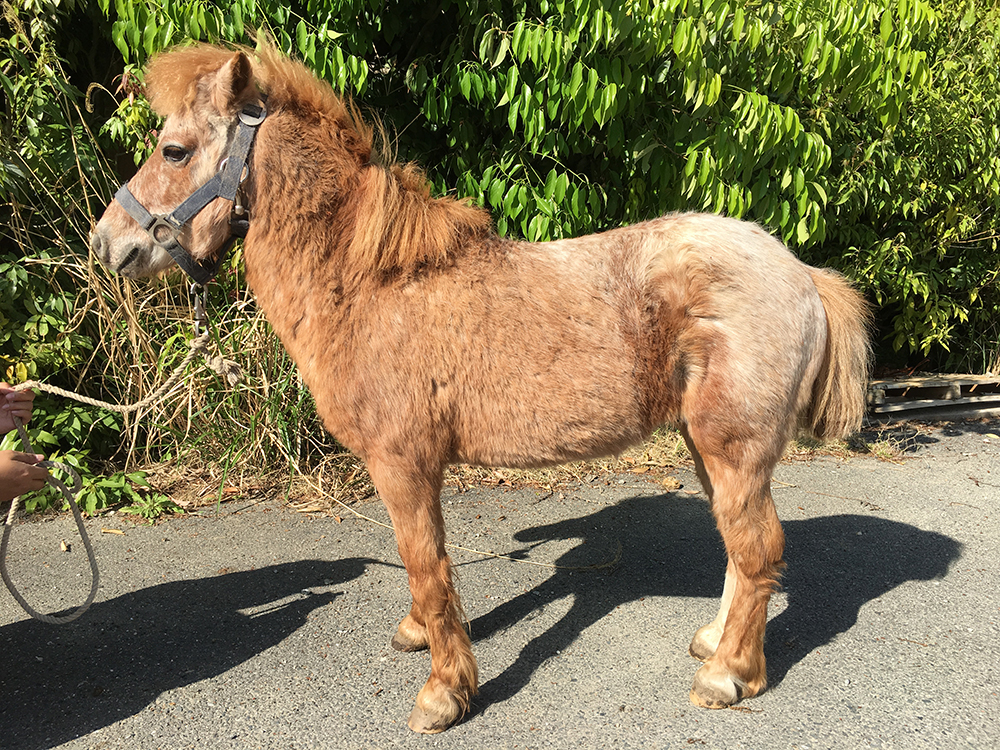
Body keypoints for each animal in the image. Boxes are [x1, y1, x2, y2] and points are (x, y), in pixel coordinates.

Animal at [90, 44, 872, 736]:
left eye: (175, 151)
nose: (108, 243)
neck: (370, 282)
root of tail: (799, 272)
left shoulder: (402, 464)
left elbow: (428, 566)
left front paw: (445, 692)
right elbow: (427, 568)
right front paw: (419, 637)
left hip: (733, 447)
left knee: (758, 549)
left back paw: (728, 674)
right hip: (706, 448)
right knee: (739, 548)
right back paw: (714, 641)